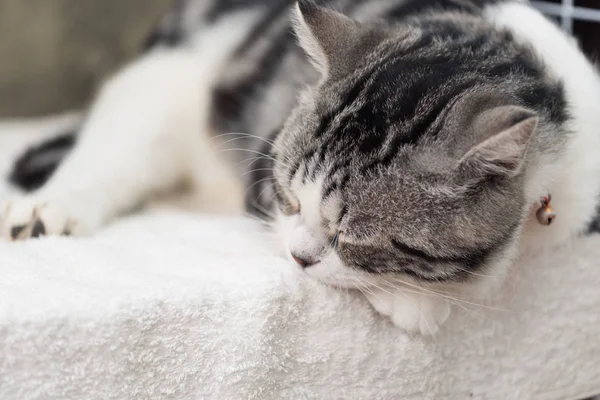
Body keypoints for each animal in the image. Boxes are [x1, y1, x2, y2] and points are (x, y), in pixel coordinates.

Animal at [1, 0, 600, 336]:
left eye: (353, 236)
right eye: (289, 196)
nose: (298, 257)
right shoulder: (261, 170)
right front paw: (415, 303)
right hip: (161, 90)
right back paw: (48, 209)